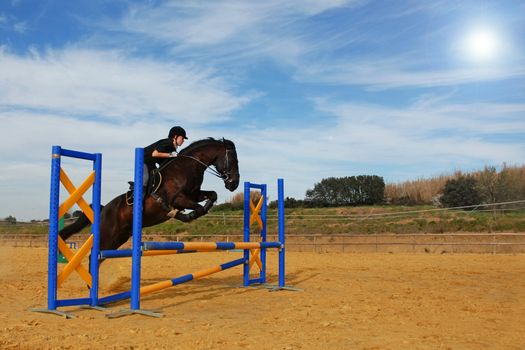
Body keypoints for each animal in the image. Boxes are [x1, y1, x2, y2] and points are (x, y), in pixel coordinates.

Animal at [58, 138, 238, 250]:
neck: (187, 167)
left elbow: (212, 195)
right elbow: (196, 208)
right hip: (108, 235)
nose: (234, 184)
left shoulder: (193, 194)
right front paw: (187, 215)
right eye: (233, 160)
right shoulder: (178, 198)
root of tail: (102, 209)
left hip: (120, 237)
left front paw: (201, 209)